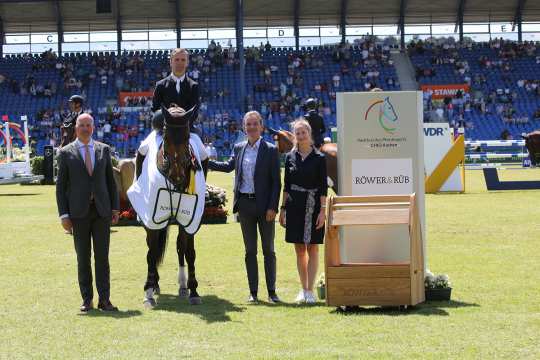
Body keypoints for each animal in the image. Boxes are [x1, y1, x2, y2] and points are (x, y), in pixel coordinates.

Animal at [133, 105, 209, 308]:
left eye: (187, 136)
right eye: (166, 137)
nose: (177, 174)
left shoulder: (189, 220)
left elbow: (189, 252)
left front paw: (193, 290)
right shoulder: (152, 220)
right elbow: (151, 253)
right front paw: (148, 292)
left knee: (180, 247)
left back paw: (183, 286)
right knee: (152, 249)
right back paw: (155, 284)